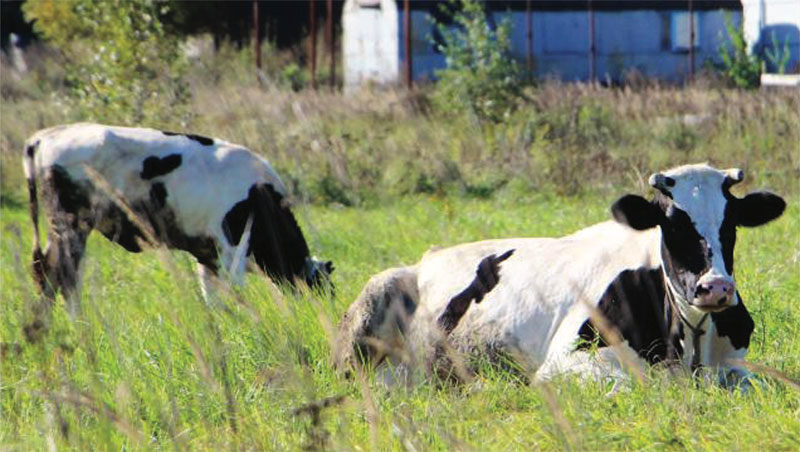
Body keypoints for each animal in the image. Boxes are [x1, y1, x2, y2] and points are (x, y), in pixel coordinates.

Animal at [23, 123, 332, 336]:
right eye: (322, 288)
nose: (318, 316)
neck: (260, 196)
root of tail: (46, 136)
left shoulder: (207, 256)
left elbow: (212, 298)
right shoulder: (231, 251)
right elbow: (234, 292)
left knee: (45, 273)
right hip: (72, 225)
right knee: (65, 276)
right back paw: (79, 324)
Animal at [334, 164, 784, 386]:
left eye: (732, 223)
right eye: (671, 225)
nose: (716, 288)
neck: (689, 339)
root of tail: (428, 257)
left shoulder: (736, 366)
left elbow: (758, 383)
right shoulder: (562, 365)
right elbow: (635, 384)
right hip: (373, 305)